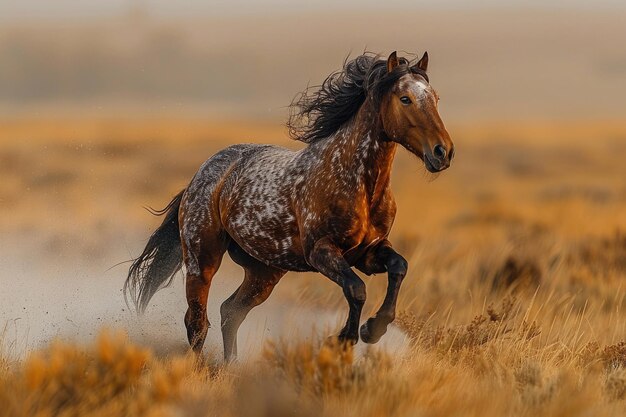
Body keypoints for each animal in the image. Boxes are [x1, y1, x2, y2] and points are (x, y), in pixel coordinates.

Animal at [123, 50, 454, 360]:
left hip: (264, 272)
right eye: (405, 98)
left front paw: (374, 328)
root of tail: (200, 175)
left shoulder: (369, 253)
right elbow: (356, 289)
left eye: (436, 98)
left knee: (230, 311)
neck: (359, 184)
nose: (443, 152)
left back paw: (230, 367)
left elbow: (399, 267)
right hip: (202, 260)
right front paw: (345, 339)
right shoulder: (321, 252)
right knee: (197, 322)